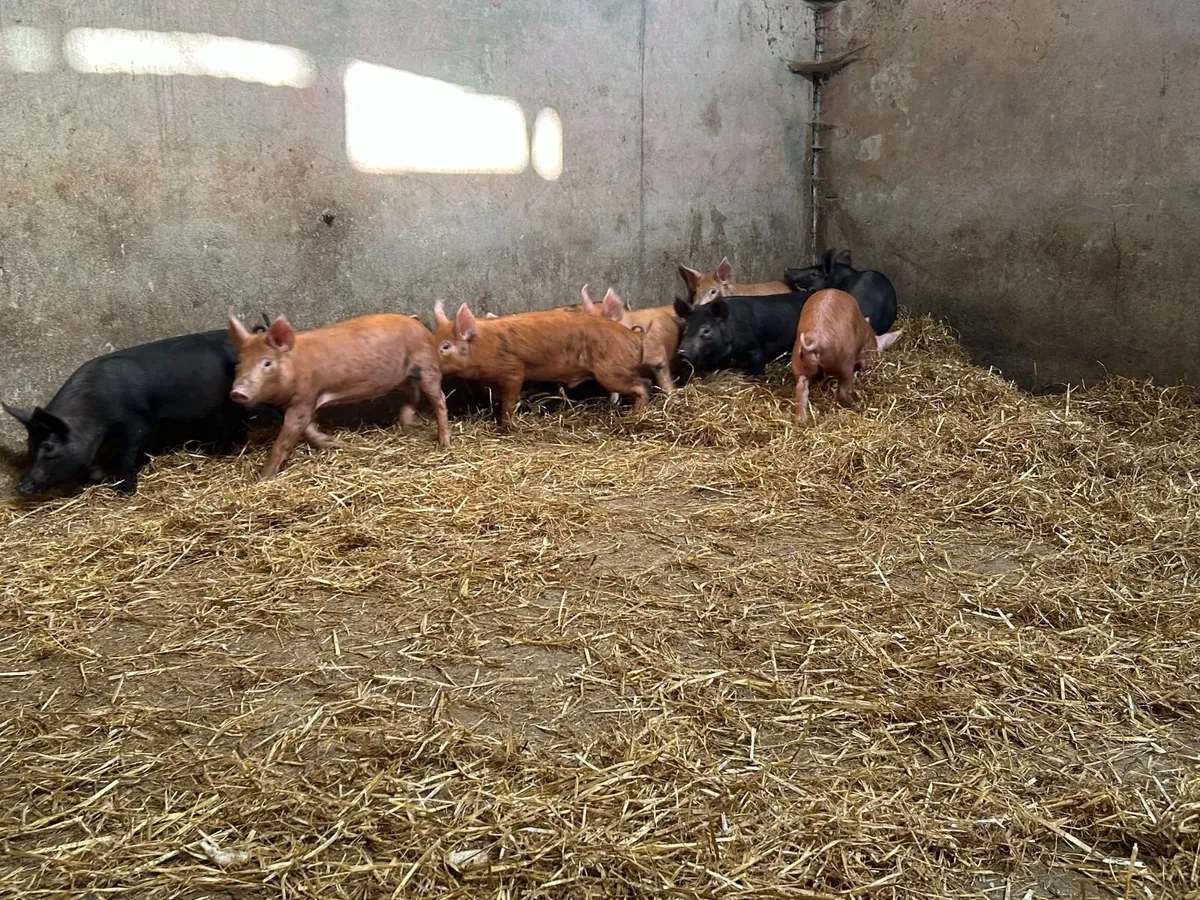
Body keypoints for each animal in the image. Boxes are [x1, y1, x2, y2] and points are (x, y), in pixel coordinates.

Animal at [3, 329, 256, 496]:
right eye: (28, 444)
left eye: (49, 447)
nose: (21, 487)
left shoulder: (137, 422)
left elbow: (127, 454)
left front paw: (125, 491)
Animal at [228, 313, 450, 479]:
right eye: (239, 362)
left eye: (267, 363)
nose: (237, 392)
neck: (295, 366)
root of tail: (418, 323)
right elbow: (309, 429)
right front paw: (334, 443)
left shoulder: (305, 397)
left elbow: (286, 438)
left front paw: (263, 478)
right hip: (402, 377)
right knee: (412, 395)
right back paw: (408, 427)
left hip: (427, 365)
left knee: (439, 399)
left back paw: (444, 443)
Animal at [432, 299, 648, 428]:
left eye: (445, 346)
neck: (483, 346)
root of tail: (635, 336)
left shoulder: (513, 370)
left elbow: (509, 401)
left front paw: (507, 425)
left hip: (611, 371)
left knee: (642, 385)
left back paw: (635, 415)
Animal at [791, 288, 902, 424]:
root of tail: (815, 340)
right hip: (843, 364)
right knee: (843, 391)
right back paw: (854, 405)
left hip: (799, 362)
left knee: (801, 389)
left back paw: (802, 421)